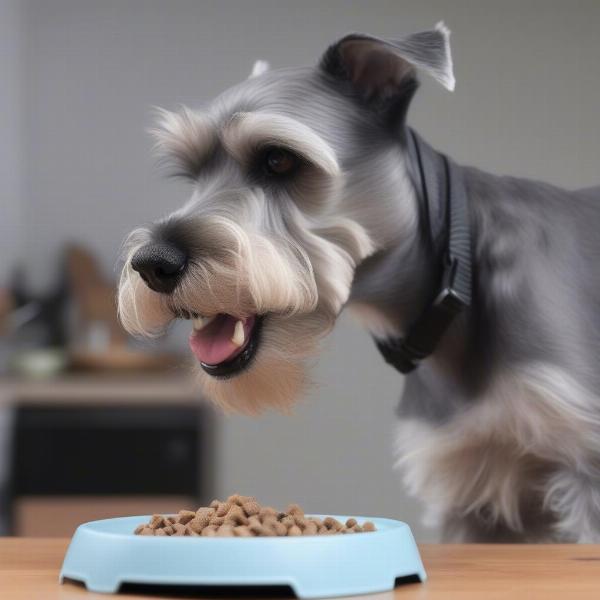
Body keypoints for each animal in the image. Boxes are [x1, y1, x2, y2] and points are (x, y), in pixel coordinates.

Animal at [118, 24, 600, 544]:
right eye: (192, 174)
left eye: (279, 160)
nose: (152, 264)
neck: (458, 285)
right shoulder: (466, 489)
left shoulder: (584, 468)